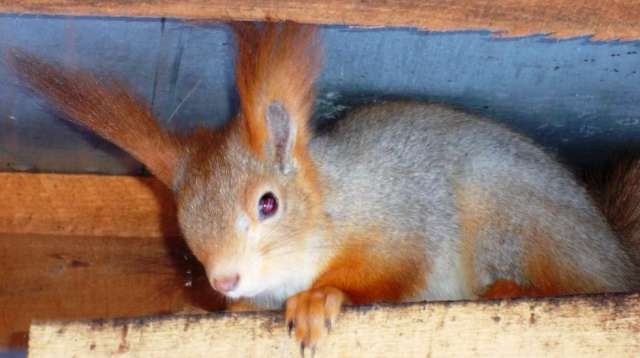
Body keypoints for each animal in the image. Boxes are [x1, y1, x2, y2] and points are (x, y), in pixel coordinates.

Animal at [7, 21, 640, 352]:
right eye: (182, 225)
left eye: (268, 203)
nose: (223, 281)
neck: (330, 205)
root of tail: (615, 252)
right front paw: (219, 310)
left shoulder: (400, 210)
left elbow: (392, 268)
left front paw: (320, 298)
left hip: (512, 215)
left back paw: (509, 289)